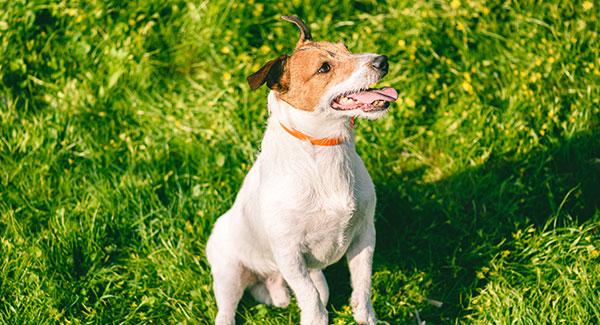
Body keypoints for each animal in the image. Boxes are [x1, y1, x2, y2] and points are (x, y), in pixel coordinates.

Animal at [206, 15, 398, 324]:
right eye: (324, 68)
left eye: (346, 48)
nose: (382, 60)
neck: (323, 148)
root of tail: (269, 279)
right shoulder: (289, 254)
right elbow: (311, 301)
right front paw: (316, 318)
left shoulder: (365, 235)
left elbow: (362, 288)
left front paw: (366, 317)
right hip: (229, 274)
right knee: (226, 310)